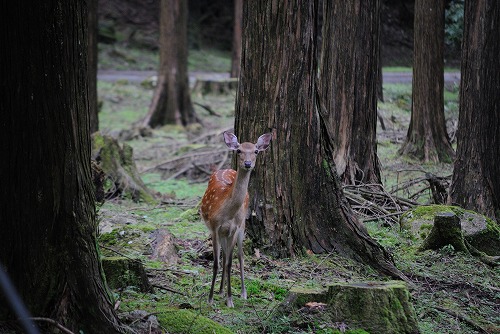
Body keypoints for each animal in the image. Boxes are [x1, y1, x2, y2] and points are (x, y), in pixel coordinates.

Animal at [199, 131, 272, 308]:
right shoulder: (214, 227)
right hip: (223, 233)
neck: (227, 212)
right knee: (225, 256)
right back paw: (220, 291)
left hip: (242, 226)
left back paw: (242, 293)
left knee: (239, 256)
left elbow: (230, 262)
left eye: (256, 151)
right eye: (239, 150)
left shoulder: (234, 228)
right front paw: (211, 298)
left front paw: (230, 300)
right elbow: (217, 263)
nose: (247, 163)